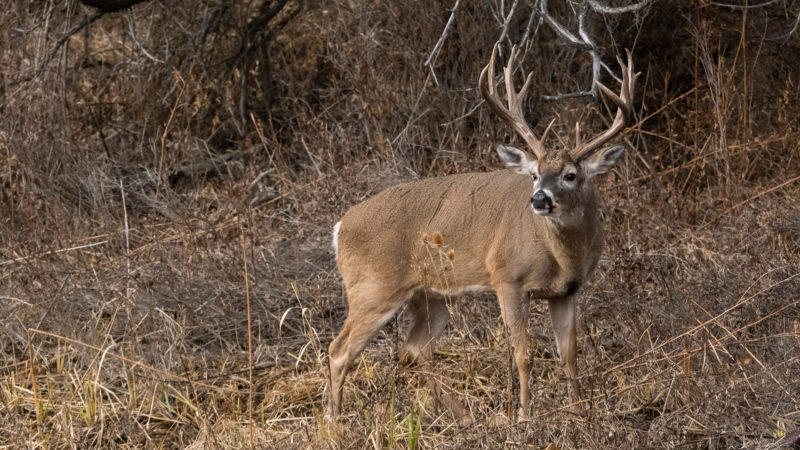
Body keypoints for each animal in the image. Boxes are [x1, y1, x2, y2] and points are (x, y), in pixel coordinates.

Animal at [326, 44, 636, 418]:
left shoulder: (566, 292)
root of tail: (341, 227)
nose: (539, 199)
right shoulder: (508, 278)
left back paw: (459, 415)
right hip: (373, 288)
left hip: (430, 297)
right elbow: (523, 356)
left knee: (414, 350)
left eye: (570, 175)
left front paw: (579, 412)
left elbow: (570, 357)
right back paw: (335, 420)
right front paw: (524, 415)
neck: (562, 256)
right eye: (534, 174)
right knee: (339, 350)